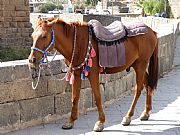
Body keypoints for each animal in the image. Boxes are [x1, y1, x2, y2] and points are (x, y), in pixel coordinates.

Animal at [27, 17, 158, 132]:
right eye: (32, 36)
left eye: (44, 36)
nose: (32, 60)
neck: (78, 42)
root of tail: (151, 31)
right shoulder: (76, 73)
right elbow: (75, 97)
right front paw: (70, 121)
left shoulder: (93, 73)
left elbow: (97, 96)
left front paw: (100, 122)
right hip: (137, 65)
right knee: (148, 85)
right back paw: (146, 112)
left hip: (141, 64)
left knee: (138, 89)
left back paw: (128, 117)